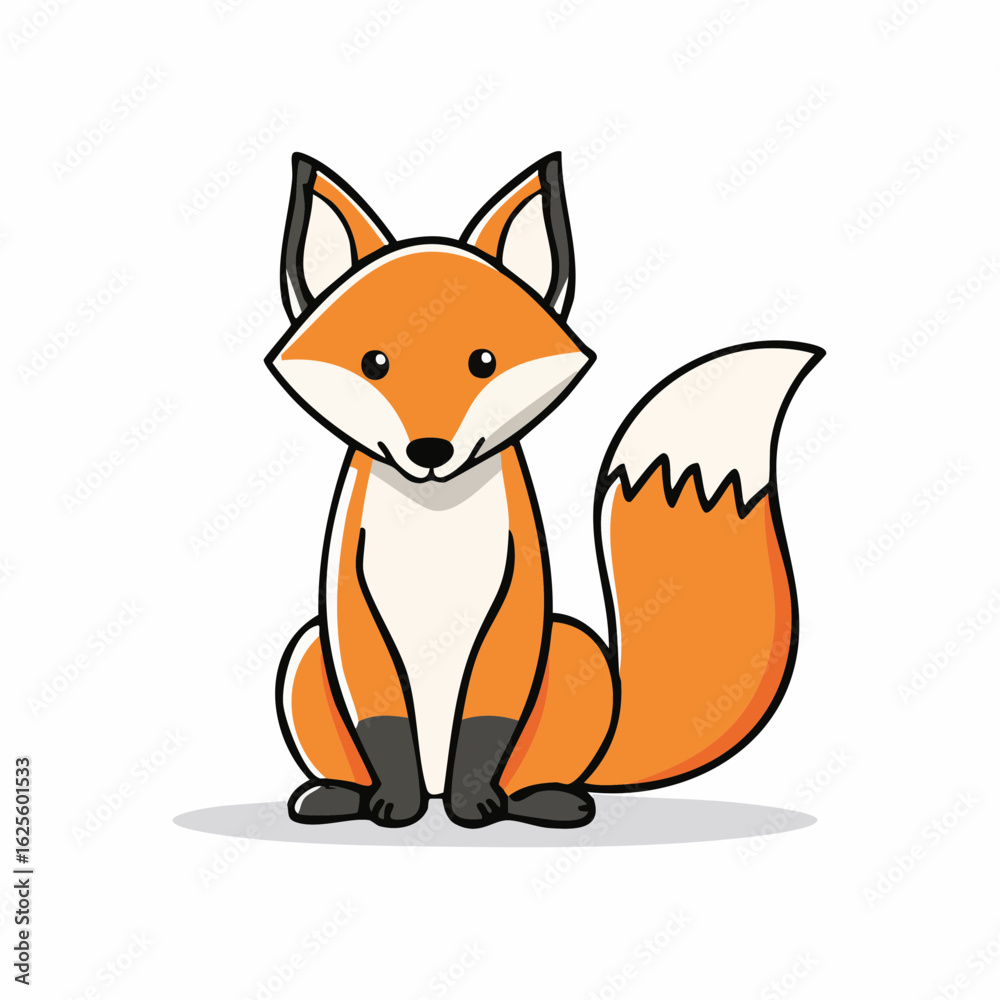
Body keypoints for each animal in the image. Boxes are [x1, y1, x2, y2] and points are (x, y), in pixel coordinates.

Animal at [265, 151, 824, 829]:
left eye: (483, 361)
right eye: (375, 363)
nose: (430, 452)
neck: (436, 518)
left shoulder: (519, 596)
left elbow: (488, 718)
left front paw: (475, 805)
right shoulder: (349, 595)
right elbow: (382, 718)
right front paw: (394, 804)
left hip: (573, 648)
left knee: (537, 770)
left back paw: (542, 800)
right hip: (306, 652)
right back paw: (340, 794)